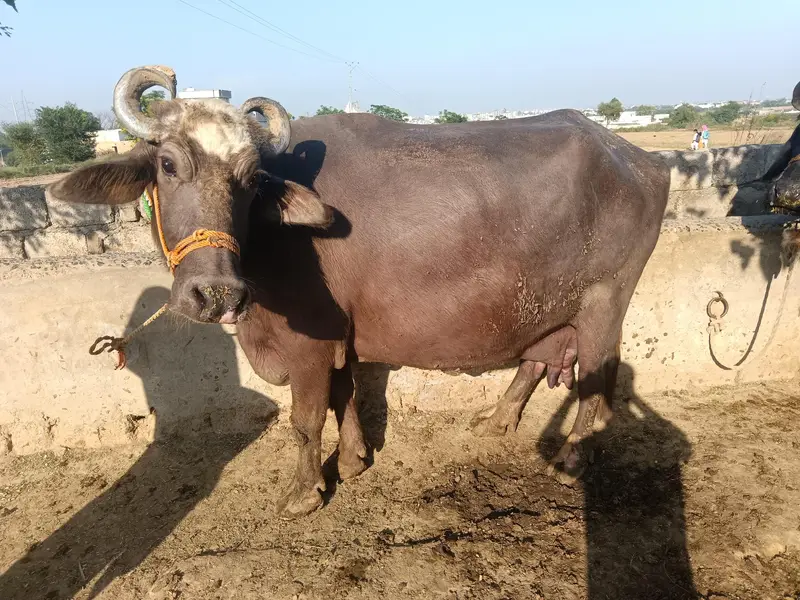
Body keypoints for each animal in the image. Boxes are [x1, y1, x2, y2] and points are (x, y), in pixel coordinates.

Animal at [48, 66, 670, 518]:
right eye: (168, 164)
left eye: (249, 180)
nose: (216, 293)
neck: (273, 240)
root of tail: (635, 157)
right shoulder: (339, 338)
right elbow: (344, 396)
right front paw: (352, 461)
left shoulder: (309, 345)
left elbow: (306, 418)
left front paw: (304, 493)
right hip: (548, 309)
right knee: (537, 363)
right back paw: (493, 423)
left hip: (603, 305)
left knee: (597, 382)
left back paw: (572, 456)